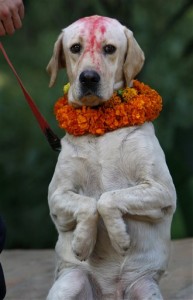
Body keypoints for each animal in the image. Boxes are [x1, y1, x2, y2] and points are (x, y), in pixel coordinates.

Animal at [46, 15, 176, 298]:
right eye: (75, 48)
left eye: (109, 49)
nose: (88, 78)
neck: (100, 126)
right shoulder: (57, 196)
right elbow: (88, 204)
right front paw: (82, 243)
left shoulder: (161, 189)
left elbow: (107, 198)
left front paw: (120, 238)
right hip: (69, 283)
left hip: (146, 287)